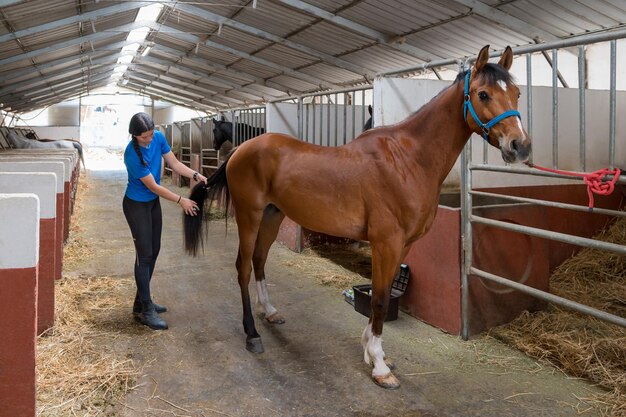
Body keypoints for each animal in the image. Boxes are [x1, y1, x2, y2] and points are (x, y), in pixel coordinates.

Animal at [183, 44, 528, 386]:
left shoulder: (403, 245)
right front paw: (379, 366)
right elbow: (378, 299)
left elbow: (382, 292)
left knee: (259, 260)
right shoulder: (386, 242)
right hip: (250, 215)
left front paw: (373, 351)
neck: (407, 160)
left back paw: (269, 311)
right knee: (242, 267)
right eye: (483, 94)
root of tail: (239, 151)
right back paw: (252, 334)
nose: (520, 146)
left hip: (272, 216)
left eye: (517, 93)